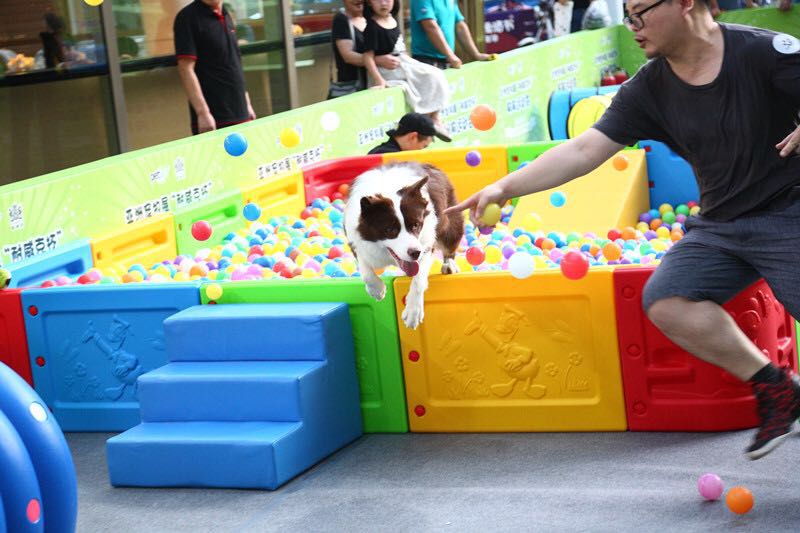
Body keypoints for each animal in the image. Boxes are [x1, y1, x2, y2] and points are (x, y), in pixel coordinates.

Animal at [344, 162, 465, 329]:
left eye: (416, 225)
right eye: (389, 230)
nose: (415, 253)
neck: (386, 186)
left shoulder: (426, 242)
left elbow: (419, 278)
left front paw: (413, 313)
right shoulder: (357, 238)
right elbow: (365, 269)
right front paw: (377, 290)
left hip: (449, 218)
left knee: (450, 239)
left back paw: (450, 265)